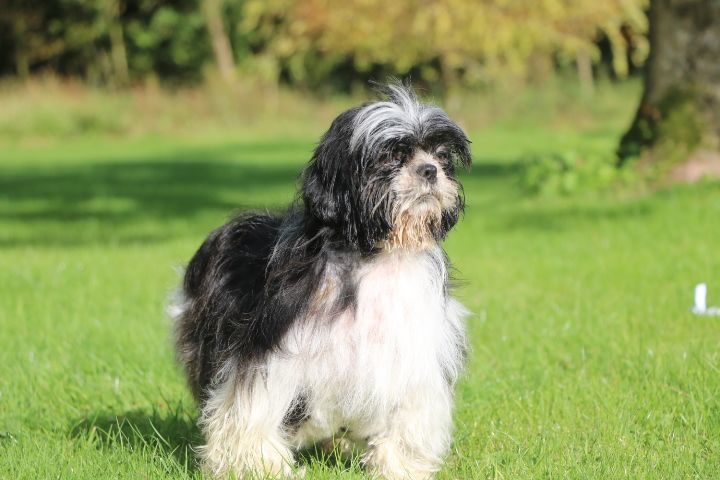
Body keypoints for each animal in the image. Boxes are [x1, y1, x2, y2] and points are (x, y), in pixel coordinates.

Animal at [172, 82, 472, 479]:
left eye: (441, 155)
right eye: (392, 156)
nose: (429, 170)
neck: (374, 255)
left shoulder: (412, 353)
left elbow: (407, 417)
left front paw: (400, 467)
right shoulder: (274, 348)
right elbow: (253, 407)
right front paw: (257, 466)